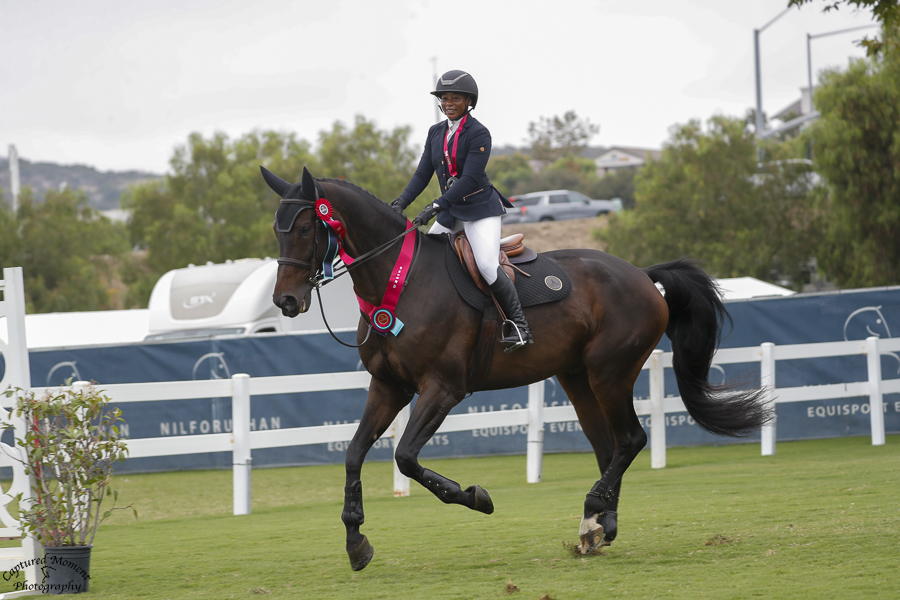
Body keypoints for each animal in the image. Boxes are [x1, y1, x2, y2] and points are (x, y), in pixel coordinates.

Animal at [263, 166, 771, 571]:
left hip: (610, 373)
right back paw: (598, 525)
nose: (286, 301)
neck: (400, 280)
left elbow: (406, 456)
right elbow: (353, 454)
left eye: (306, 227)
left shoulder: (443, 389)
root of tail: (641, 275)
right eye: (277, 229)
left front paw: (475, 498)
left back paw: (592, 514)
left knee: (631, 439)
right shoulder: (389, 387)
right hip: (577, 378)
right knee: (608, 446)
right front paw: (356, 541)